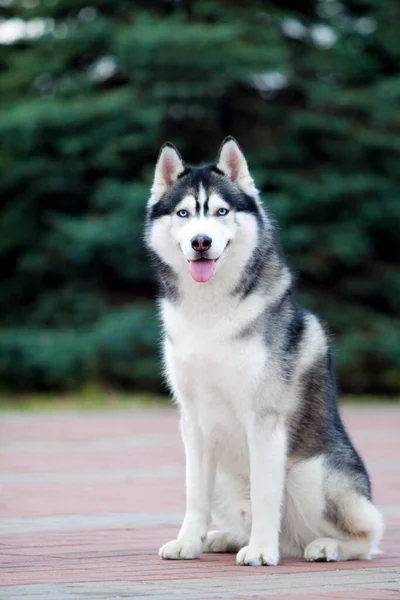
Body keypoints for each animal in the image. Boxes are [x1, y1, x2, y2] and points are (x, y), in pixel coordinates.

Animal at [145, 138, 382, 564]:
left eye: (221, 211)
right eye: (184, 213)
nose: (201, 241)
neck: (210, 311)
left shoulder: (265, 419)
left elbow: (266, 494)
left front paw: (259, 551)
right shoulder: (194, 422)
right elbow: (194, 495)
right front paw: (188, 542)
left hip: (311, 472)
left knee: (368, 535)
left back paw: (323, 546)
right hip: (225, 476)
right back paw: (226, 538)